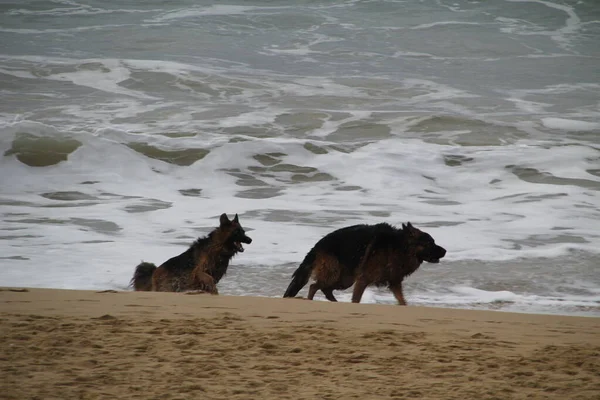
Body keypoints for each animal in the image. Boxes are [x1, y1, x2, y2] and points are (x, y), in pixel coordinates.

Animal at [282, 223, 446, 304]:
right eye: (430, 243)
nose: (445, 251)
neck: (399, 246)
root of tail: (316, 247)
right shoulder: (363, 279)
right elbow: (356, 299)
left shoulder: (394, 282)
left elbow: (402, 301)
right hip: (336, 275)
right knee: (314, 286)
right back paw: (311, 301)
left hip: (344, 280)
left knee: (325, 289)